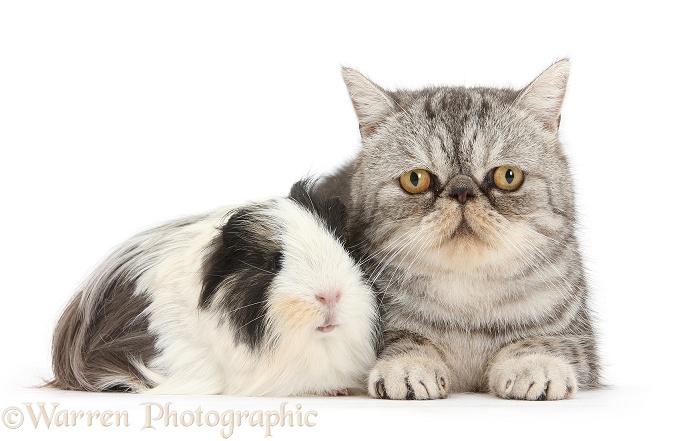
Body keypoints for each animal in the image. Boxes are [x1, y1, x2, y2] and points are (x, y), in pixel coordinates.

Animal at [318, 60, 600, 400]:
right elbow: (407, 340)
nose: (462, 191)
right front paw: (409, 365)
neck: (468, 300)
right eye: (415, 179)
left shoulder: (580, 343)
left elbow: (542, 341)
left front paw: (534, 364)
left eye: (508, 176)